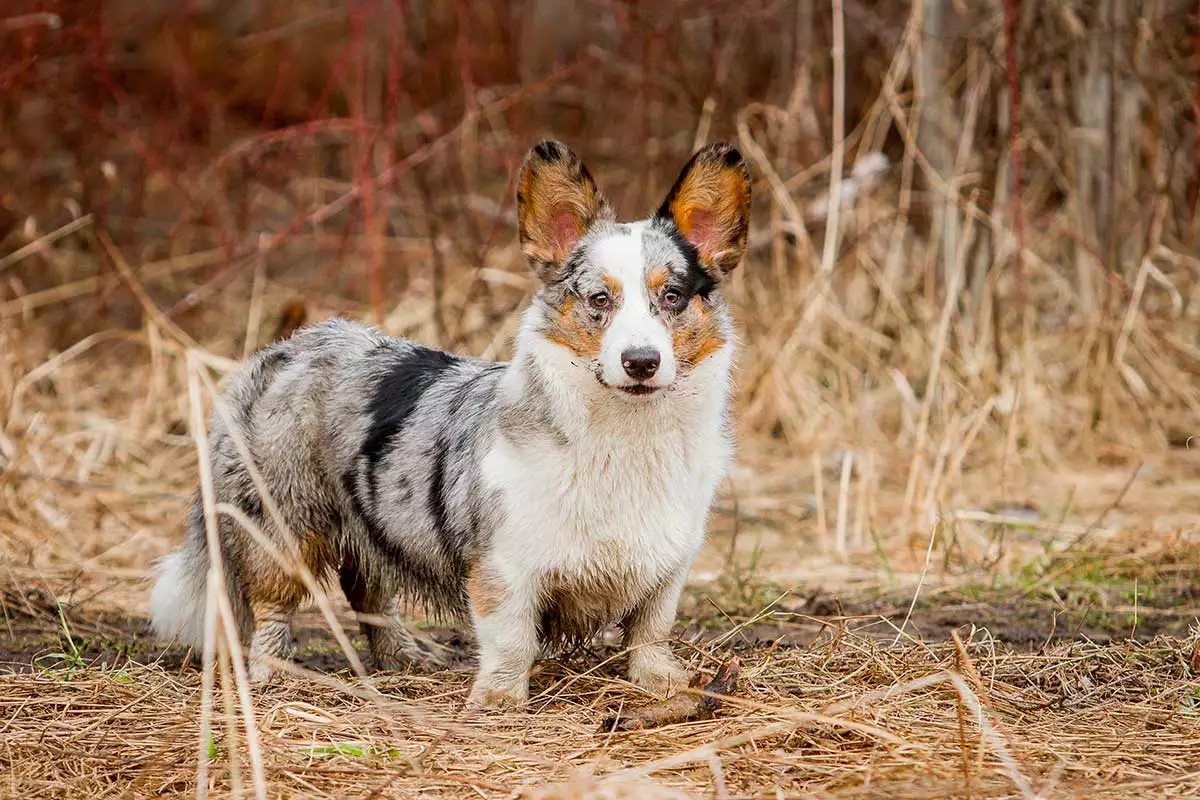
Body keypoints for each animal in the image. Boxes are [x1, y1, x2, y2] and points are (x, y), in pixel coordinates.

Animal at [150, 140, 748, 710]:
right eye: (600, 299)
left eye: (673, 296)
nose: (641, 362)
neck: (626, 436)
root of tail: (275, 354)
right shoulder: (505, 567)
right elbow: (511, 639)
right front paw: (499, 700)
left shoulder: (668, 565)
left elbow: (650, 628)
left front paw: (660, 682)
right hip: (284, 527)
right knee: (276, 606)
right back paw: (275, 675)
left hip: (377, 524)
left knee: (370, 595)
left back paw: (406, 659)